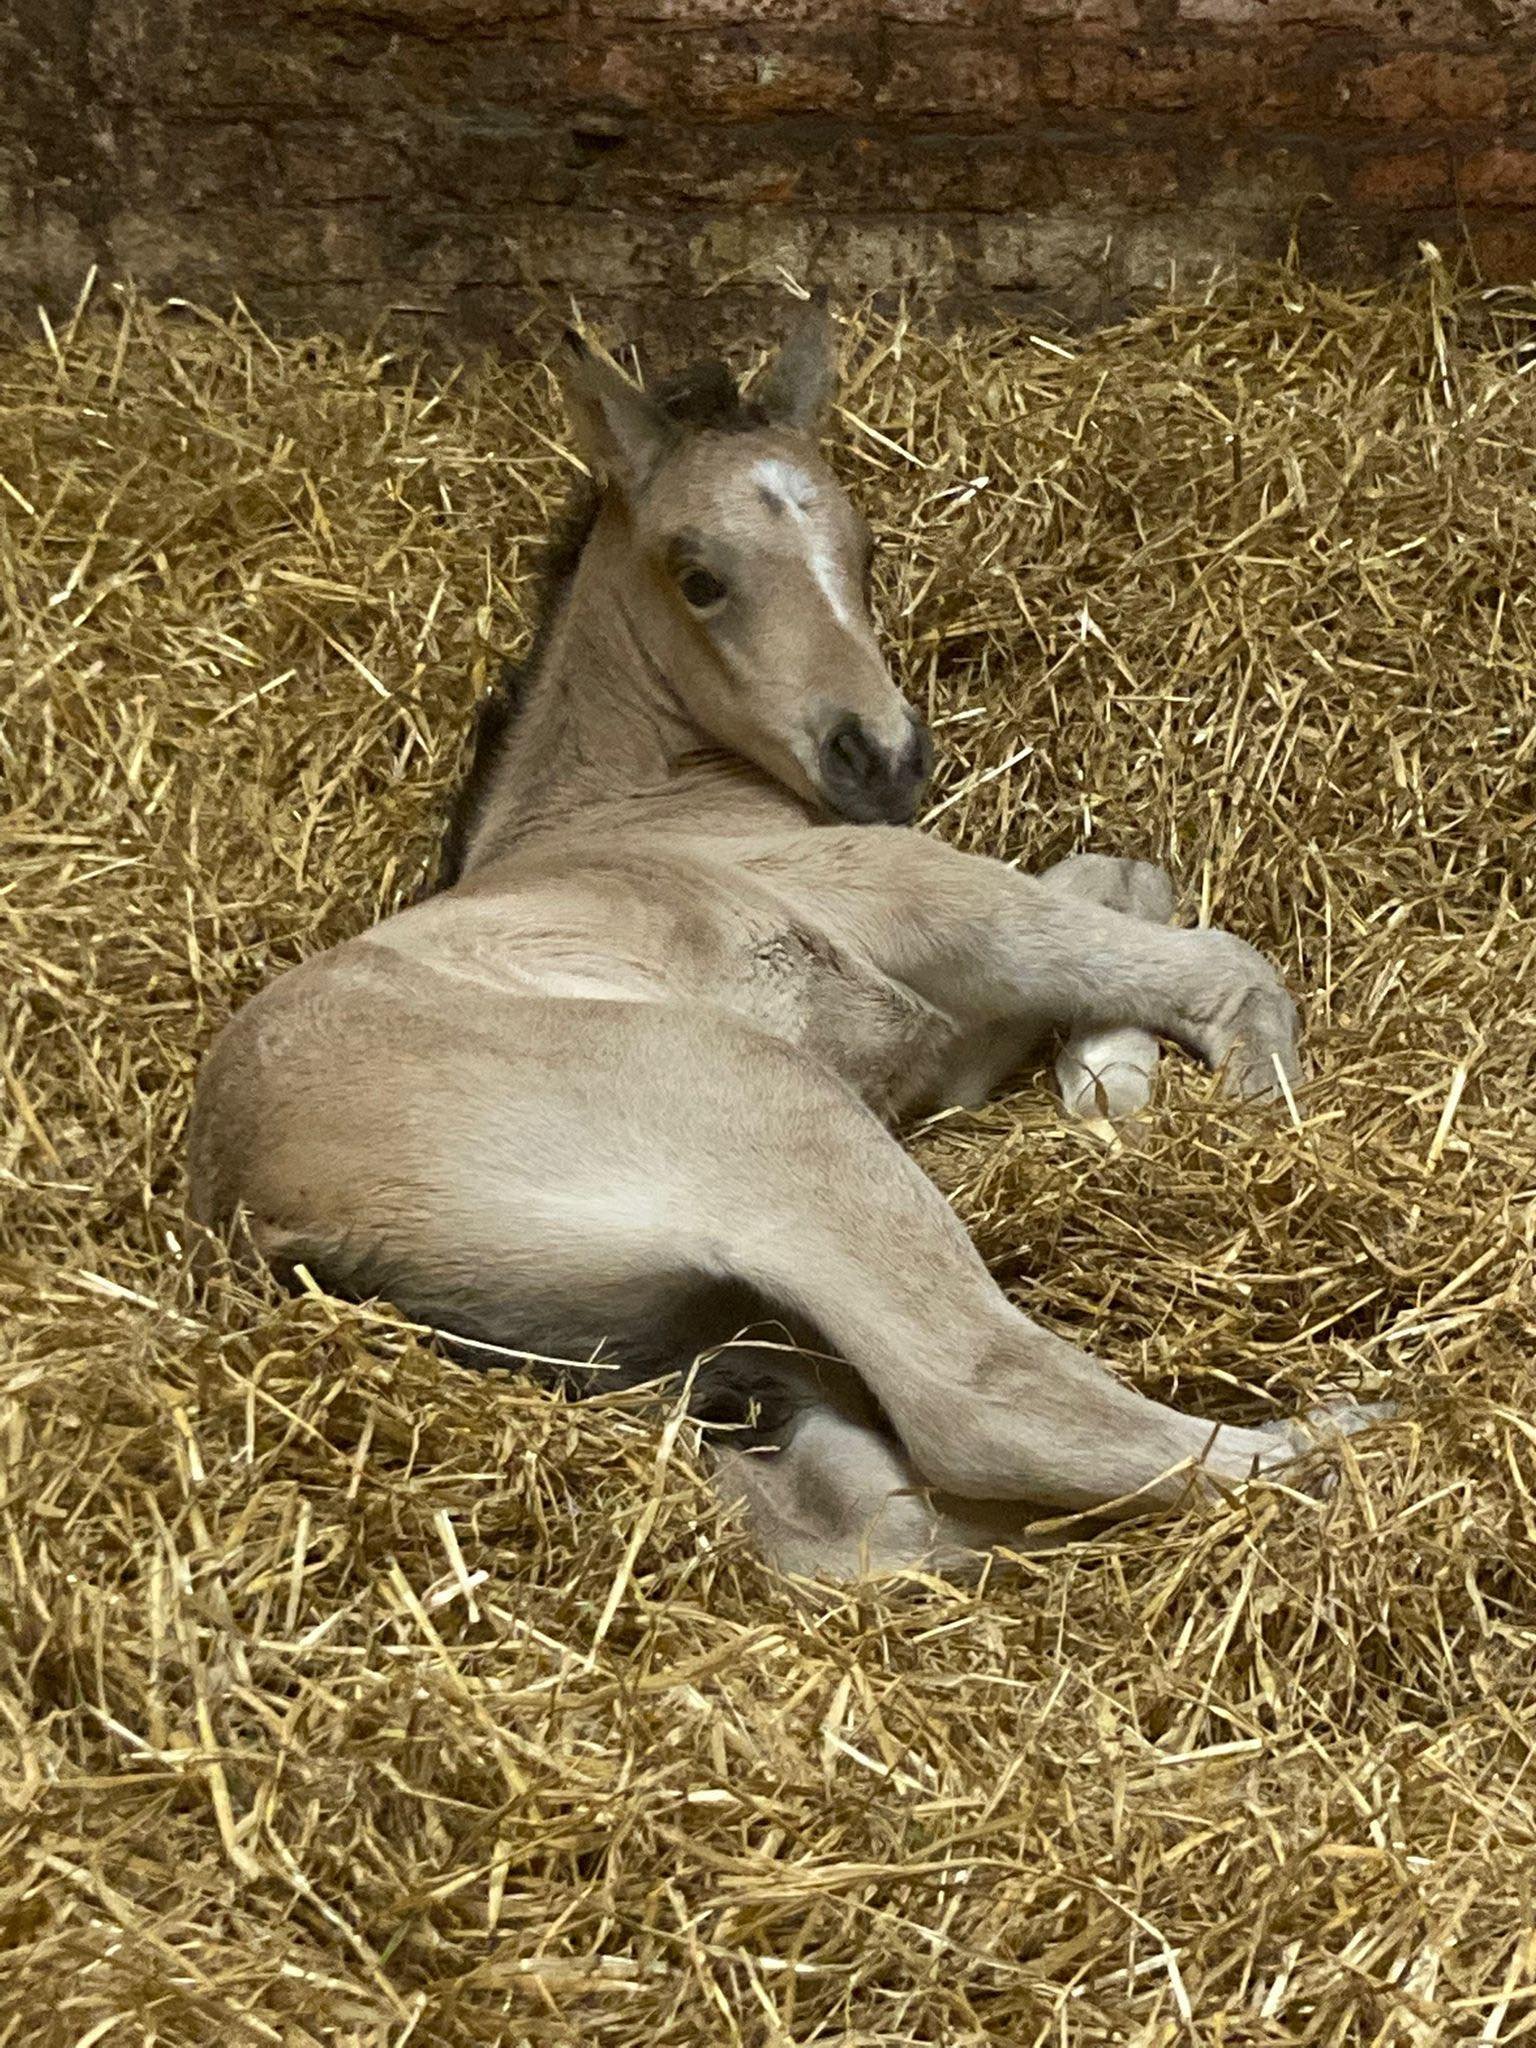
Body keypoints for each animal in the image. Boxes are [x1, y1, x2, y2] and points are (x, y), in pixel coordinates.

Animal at [188, 300, 1379, 1580]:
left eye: (866, 549)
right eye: (698, 575)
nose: (884, 756)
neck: (642, 805)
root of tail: (265, 1224)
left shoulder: (927, 1029)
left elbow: (1110, 885)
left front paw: (1105, 1072)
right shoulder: (913, 901)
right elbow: (1185, 941)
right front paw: (1206, 1083)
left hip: (703, 1337)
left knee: (864, 1504)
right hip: (770, 1111)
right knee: (984, 1399)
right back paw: (1355, 1431)